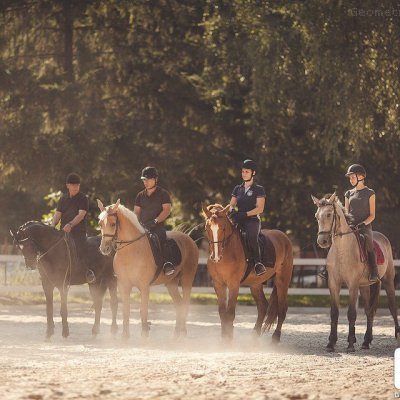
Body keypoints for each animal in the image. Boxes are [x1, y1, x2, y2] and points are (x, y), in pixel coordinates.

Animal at [96, 198, 198, 340]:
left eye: (112, 223)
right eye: (100, 223)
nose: (104, 249)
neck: (131, 250)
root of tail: (189, 239)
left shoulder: (144, 286)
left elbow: (143, 309)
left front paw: (144, 334)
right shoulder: (123, 285)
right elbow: (126, 310)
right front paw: (125, 336)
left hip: (187, 279)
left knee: (185, 304)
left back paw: (182, 333)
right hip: (171, 283)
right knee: (179, 304)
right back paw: (176, 334)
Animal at [203, 205, 294, 342]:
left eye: (223, 228)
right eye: (207, 228)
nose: (216, 257)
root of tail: (284, 237)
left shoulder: (233, 284)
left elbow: (230, 313)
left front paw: (228, 339)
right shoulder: (218, 284)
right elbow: (222, 312)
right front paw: (224, 337)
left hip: (282, 280)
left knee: (282, 308)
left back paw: (275, 337)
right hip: (255, 284)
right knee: (263, 306)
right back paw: (254, 335)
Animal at [312, 192, 400, 352]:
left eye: (329, 214)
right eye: (316, 216)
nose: (322, 241)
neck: (342, 250)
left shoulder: (352, 285)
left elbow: (351, 313)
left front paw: (351, 344)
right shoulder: (333, 284)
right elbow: (334, 313)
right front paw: (331, 343)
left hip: (388, 281)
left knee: (392, 307)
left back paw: (396, 337)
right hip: (365, 286)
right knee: (369, 311)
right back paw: (366, 341)